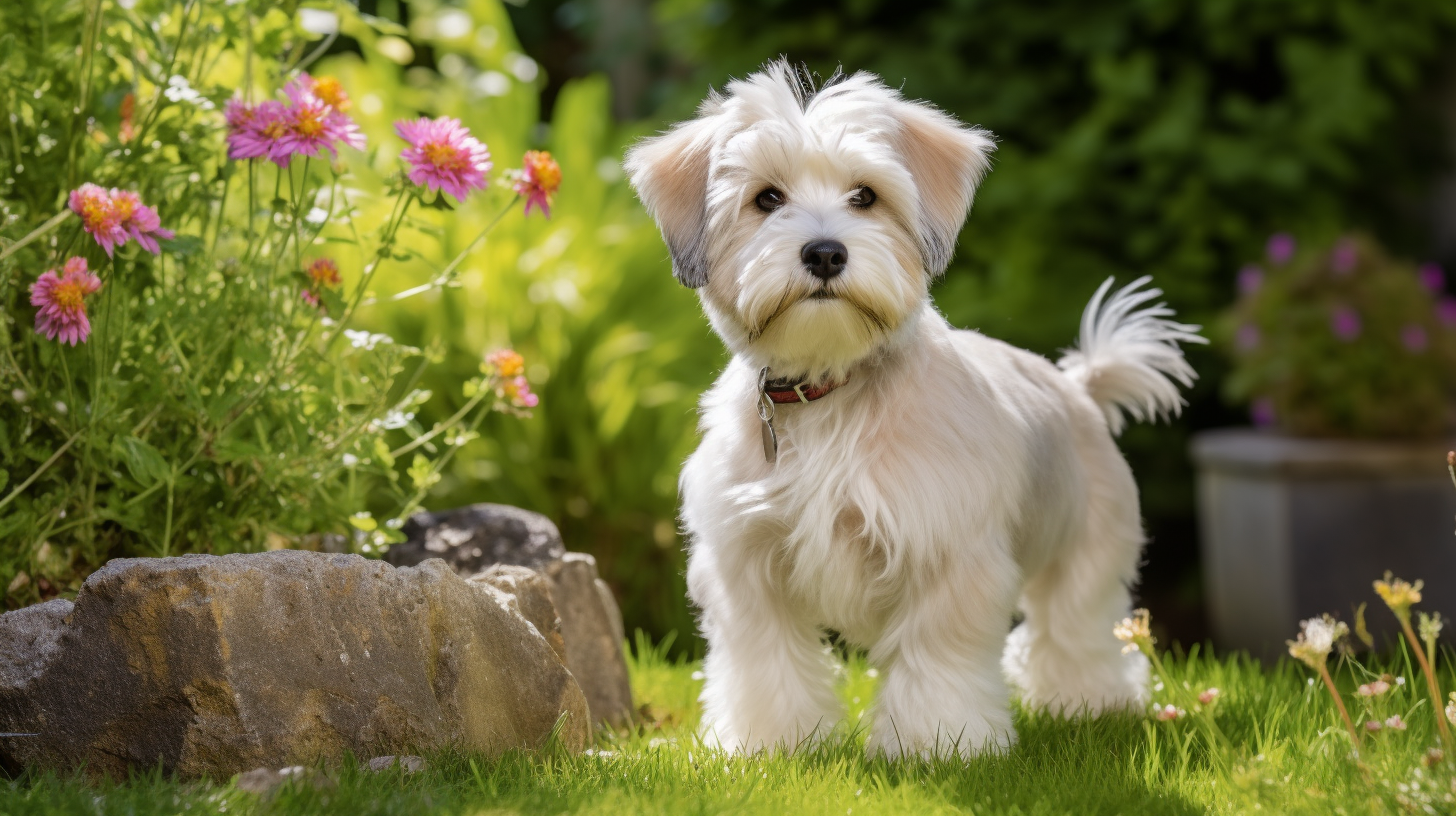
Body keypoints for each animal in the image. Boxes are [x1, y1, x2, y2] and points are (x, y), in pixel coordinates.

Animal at [626, 62, 1205, 757]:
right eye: (766, 199)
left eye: (865, 196)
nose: (825, 253)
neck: (832, 389)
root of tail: (1079, 386)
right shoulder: (747, 567)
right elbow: (766, 664)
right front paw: (770, 743)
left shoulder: (946, 554)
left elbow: (937, 656)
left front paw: (938, 744)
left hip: (1087, 553)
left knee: (1074, 630)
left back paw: (1089, 702)